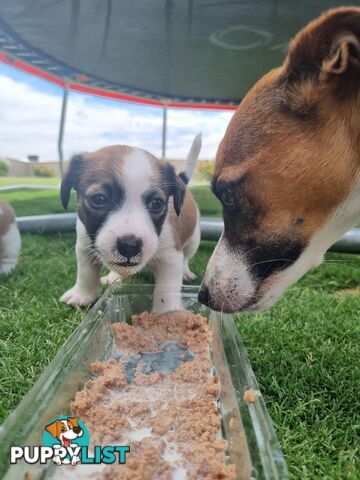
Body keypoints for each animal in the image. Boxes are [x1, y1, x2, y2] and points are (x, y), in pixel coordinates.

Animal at [58, 135, 200, 316]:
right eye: (99, 199)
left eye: (156, 203)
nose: (129, 246)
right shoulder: (84, 245)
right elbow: (86, 272)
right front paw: (82, 294)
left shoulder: (170, 257)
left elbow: (166, 289)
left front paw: (167, 313)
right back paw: (113, 277)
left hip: (193, 240)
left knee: (187, 257)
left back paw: (186, 272)